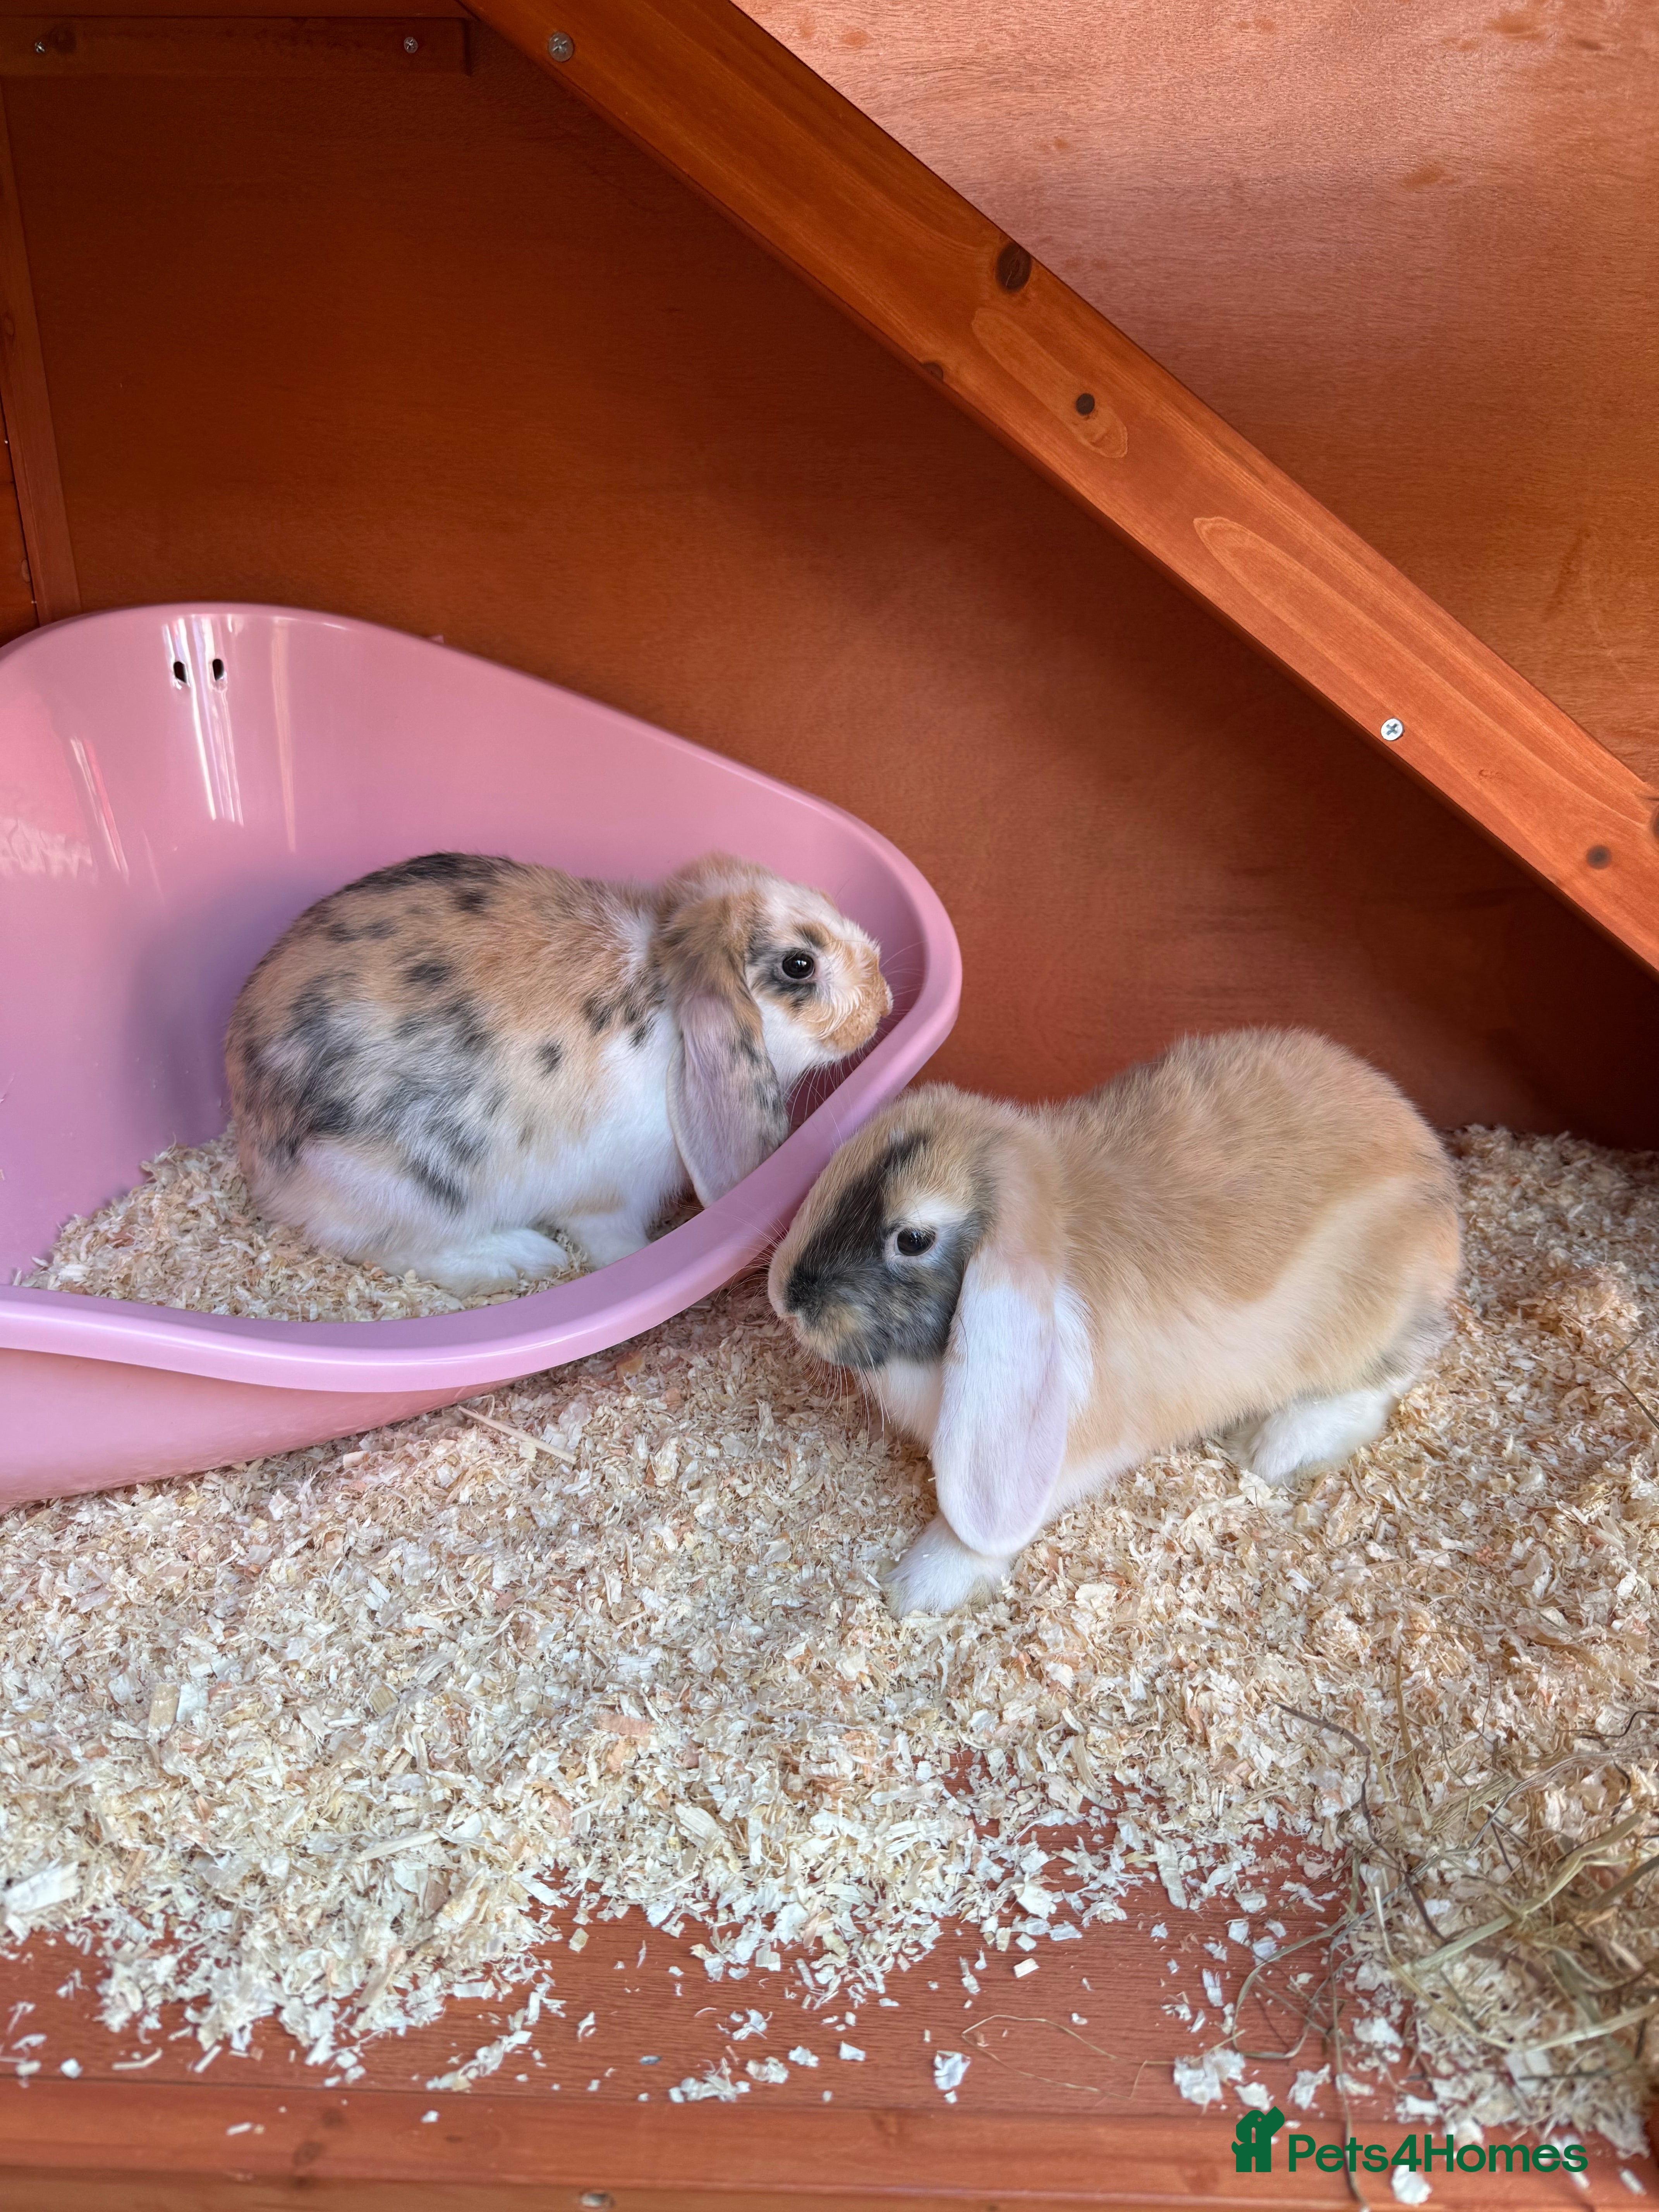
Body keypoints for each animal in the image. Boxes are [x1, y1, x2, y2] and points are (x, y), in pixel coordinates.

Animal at [226, 849, 890, 1292]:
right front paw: (639, 1257)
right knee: (382, 1248)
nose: (883, 1005)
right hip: (408, 1189)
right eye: (799, 964)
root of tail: (256, 1152)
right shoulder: (609, 1197)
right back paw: (519, 1259)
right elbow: (611, 1239)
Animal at [768, 1028, 1460, 1615]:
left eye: (912, 1239)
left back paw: (1277, 1447)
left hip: (1365, 1328)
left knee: (1382, 1384)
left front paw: (919, 1586)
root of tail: (1436, 1169)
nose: (784, 1300)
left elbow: (981, 1529)